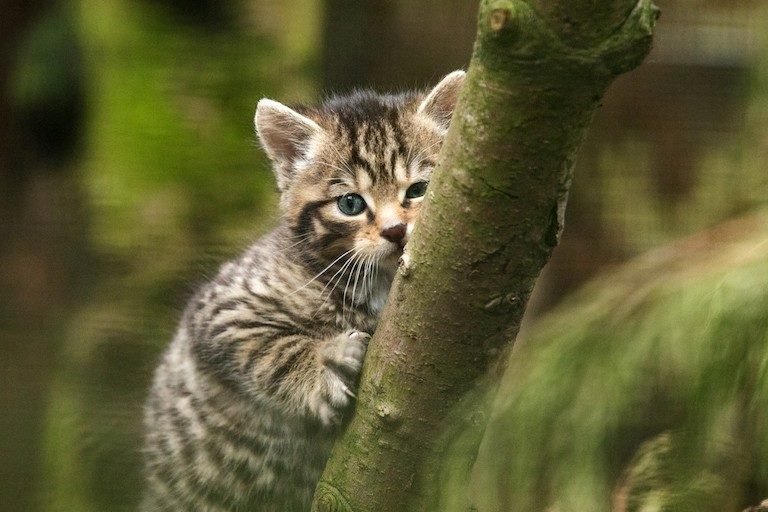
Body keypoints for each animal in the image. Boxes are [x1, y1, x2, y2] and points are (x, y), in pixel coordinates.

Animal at [143, 71, 464, 512]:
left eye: (418, 190)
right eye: (350, 204)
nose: (396, 230)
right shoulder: (221, 310)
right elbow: (271, 349)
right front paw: (326, 364)